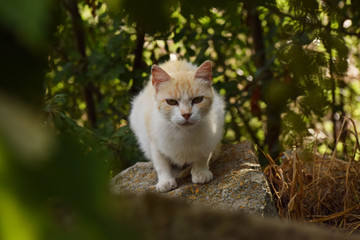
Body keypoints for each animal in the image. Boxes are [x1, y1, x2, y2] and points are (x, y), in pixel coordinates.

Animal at [129, 60, 225, 193]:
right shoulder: (154, 140)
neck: (184, 133)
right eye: (171, 102)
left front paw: (200, 172)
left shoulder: (211, 134)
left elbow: (202, 156)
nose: (186, 114)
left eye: (198, 99)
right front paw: (165, 181)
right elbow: (161, 163)